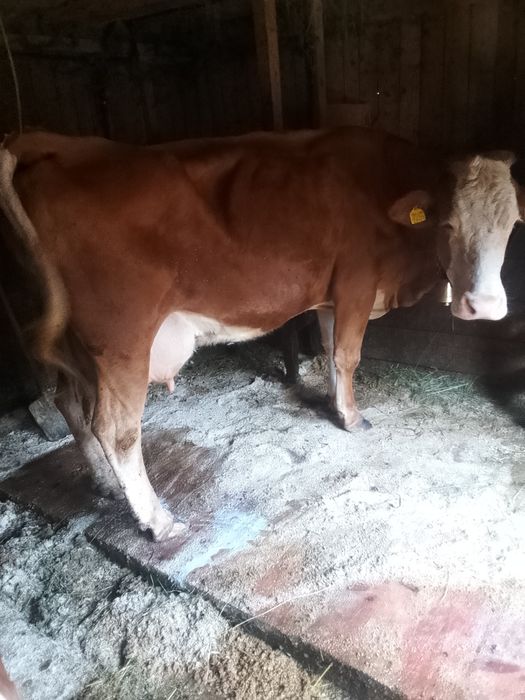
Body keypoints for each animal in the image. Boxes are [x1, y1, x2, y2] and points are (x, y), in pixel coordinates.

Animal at [0, 127, 522, 541]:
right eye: (448, 224)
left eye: (513, 224)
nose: (485, 306)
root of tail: (52, 142)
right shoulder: (356, 283)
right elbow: (348, 355)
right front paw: (353, 419)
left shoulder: (331, 296)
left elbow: (330, 351)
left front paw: (335, 405)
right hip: (121, 341)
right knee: (116, 429)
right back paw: (158, 521)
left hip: (73, 343)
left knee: (69, 403)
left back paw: (105, 483)